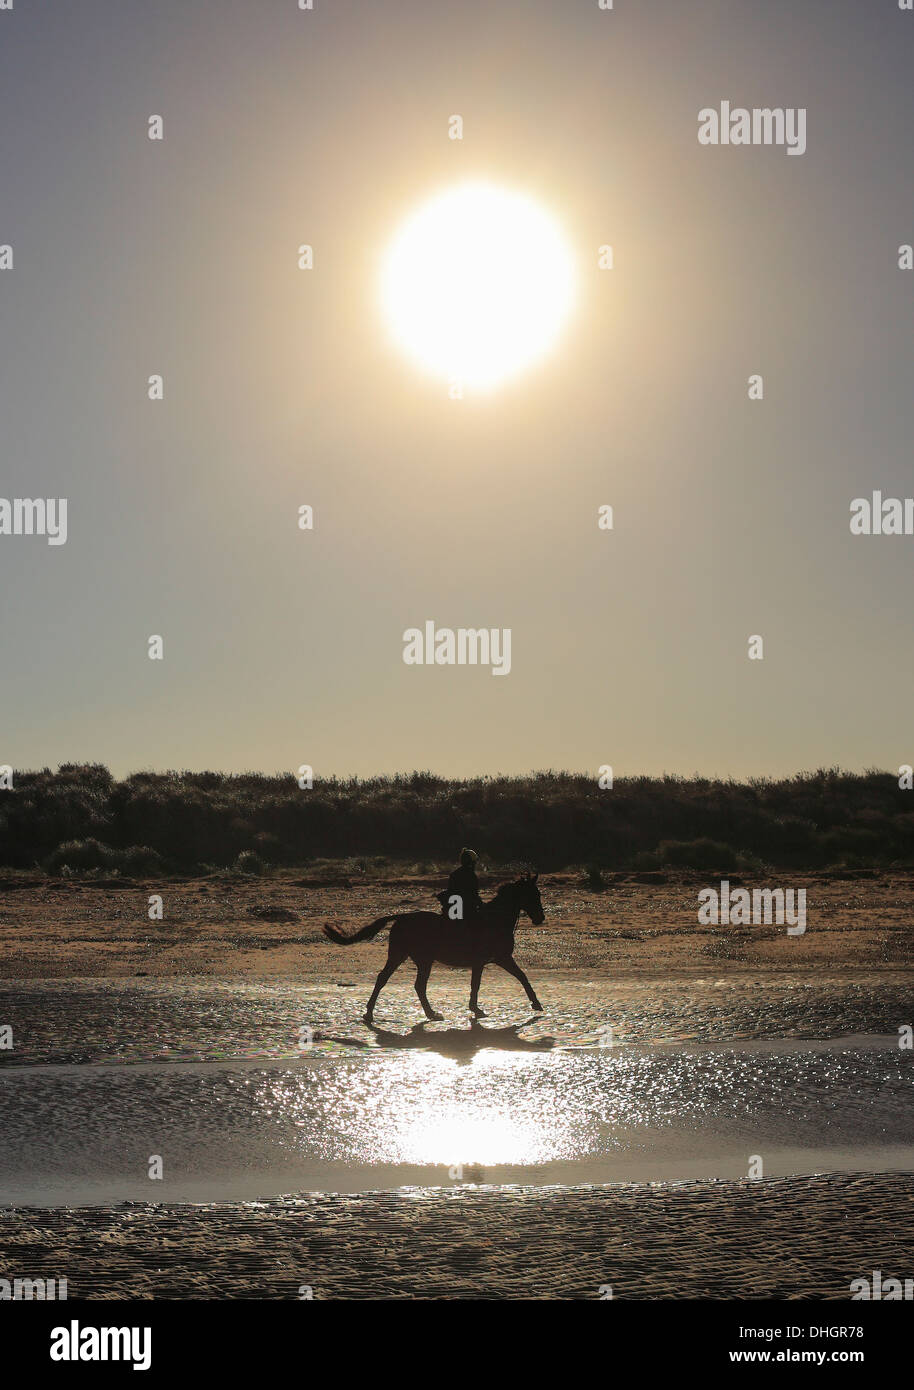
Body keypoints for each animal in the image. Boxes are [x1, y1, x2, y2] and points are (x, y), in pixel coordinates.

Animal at [322, 872, 541, 1028]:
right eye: (533, 894)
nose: (541, 918)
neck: (494, 920)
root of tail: (401, 917)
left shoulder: (491, 960)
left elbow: (511, 978)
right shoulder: (496, 958)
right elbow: (510, 979)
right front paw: (535, 1004)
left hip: (404, 956)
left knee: (388, 979)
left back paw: (372, 1012)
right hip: (420, 959)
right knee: (415, 984)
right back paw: (430, 1014)